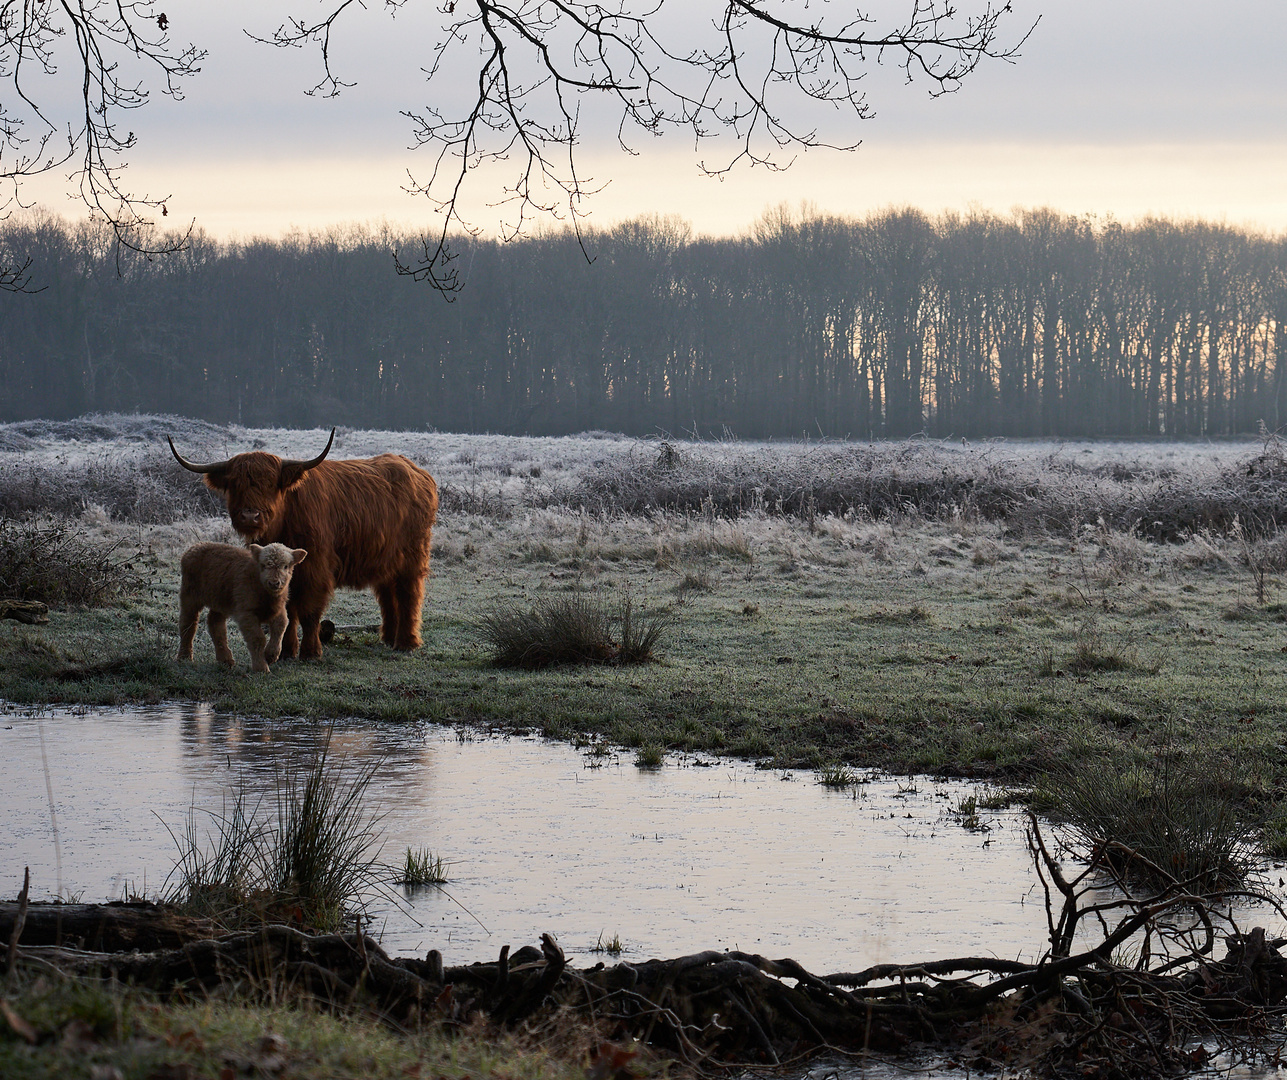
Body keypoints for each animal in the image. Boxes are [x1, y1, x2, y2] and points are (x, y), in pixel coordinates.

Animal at [177, 545, 307, 669]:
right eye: (263, 565)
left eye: (285, 566)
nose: (274, 583)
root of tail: (193, 548)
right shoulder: (246, 613)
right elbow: (257, 638)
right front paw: (261, 668)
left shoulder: (279, 610)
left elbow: (281, 626)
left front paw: (270, 656)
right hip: (189, 596)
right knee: (188, 623)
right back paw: (185, 657)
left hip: (220, 601)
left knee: (215, 624)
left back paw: (226, 660)